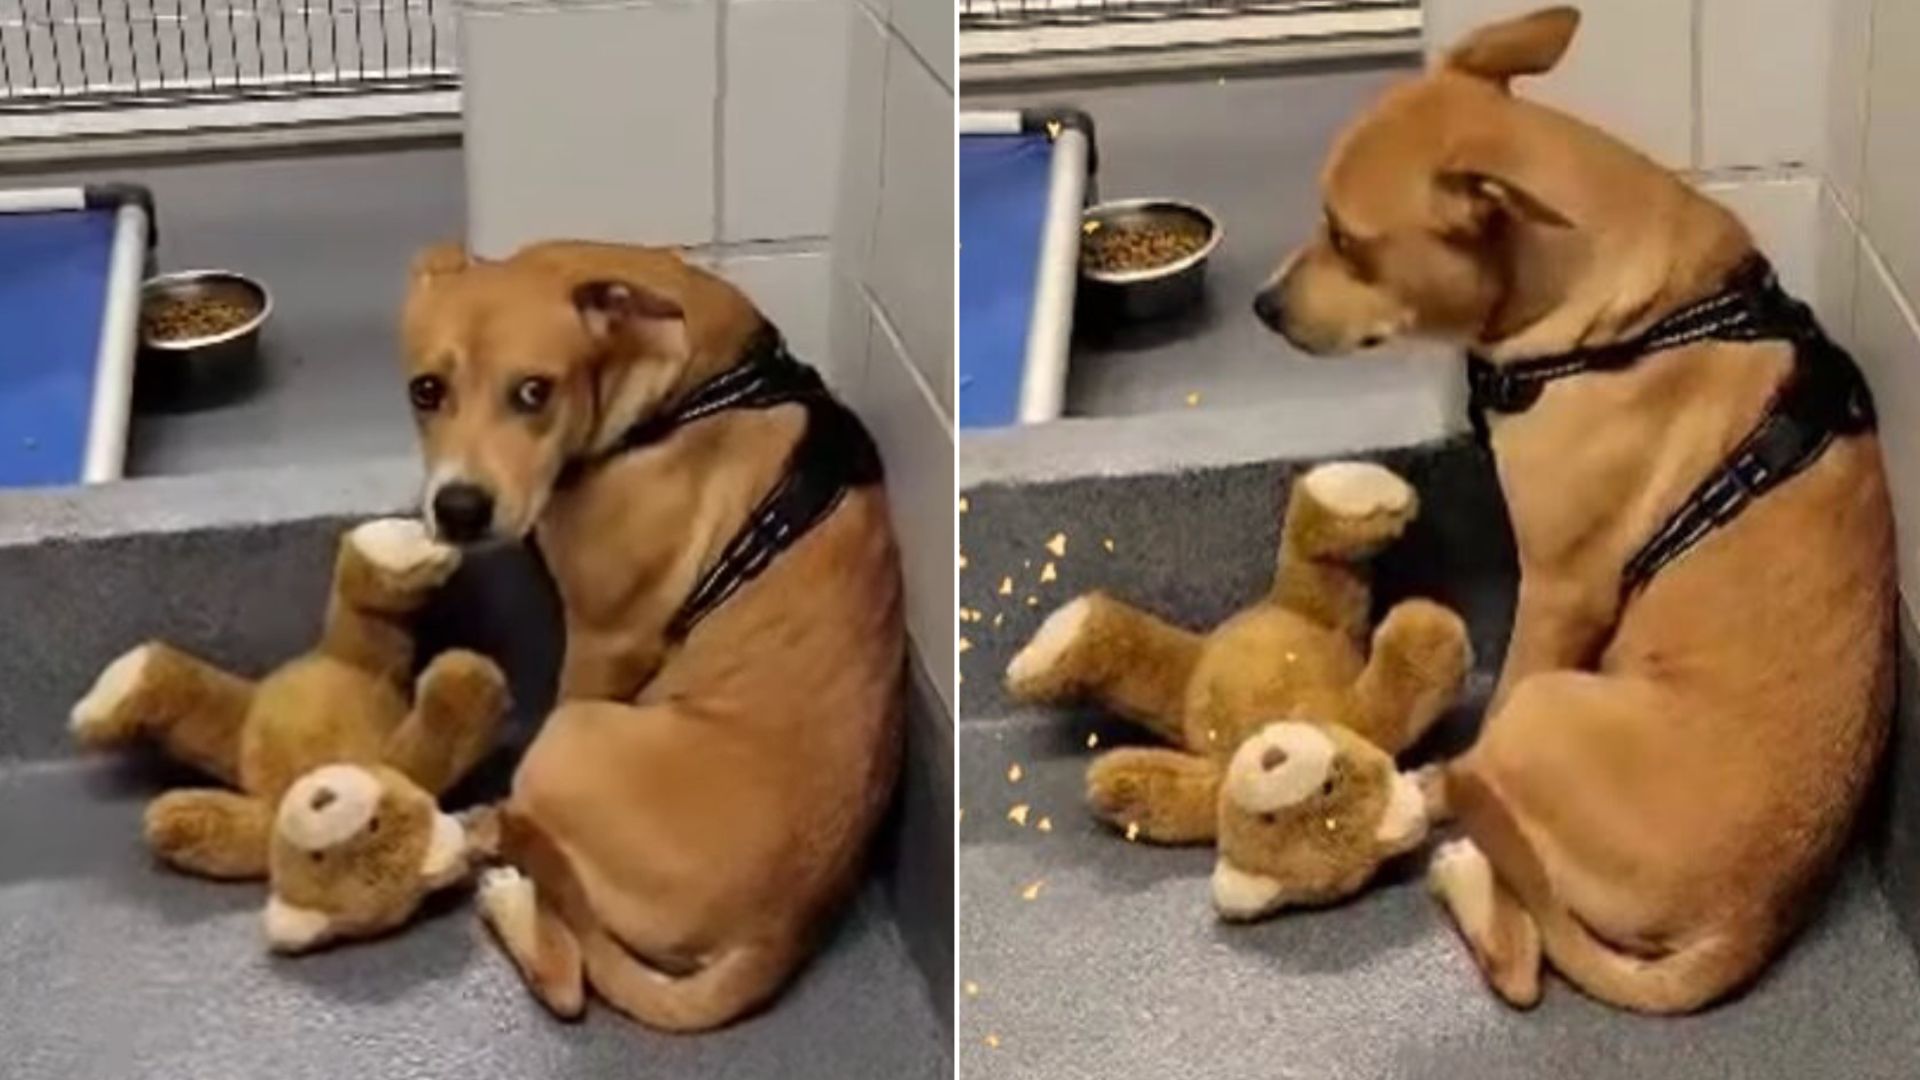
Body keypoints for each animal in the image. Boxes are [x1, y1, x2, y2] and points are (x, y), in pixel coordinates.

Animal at [399, 242, 906, 1022]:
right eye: (426, 391)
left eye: (535, 392)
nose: (458, 508)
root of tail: (777, 934)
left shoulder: (605, 642)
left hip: (570, 740)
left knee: (568, 973)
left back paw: (501, 868)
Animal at [1251, 8, 1896, 1014]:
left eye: (1347, 240)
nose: (1262, 305)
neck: (1613, 313)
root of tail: (1747, 923)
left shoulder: (1559, 592)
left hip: (1548, 708)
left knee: (1521, 950)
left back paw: (1444, 819)